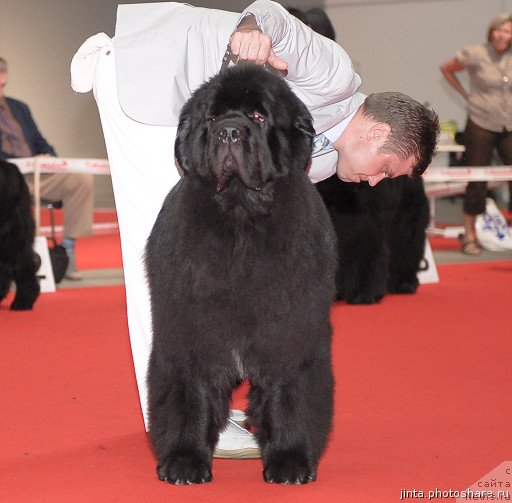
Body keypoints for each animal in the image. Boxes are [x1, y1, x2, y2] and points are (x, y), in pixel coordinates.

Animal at [145, 65, 336, 486]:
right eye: (213, 117)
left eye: (260, 117)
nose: (229, 131)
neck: (240, 215)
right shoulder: (190, 331)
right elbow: (191, 393)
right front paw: (184, 460)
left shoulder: (290, 331)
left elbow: (288, 393)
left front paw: (289, 460)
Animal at [316, 174, 428, 304]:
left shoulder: (367, 231)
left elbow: (366, 261)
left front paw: (363, 294)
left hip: (406, 229)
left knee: (406, 254)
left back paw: (405, 284)